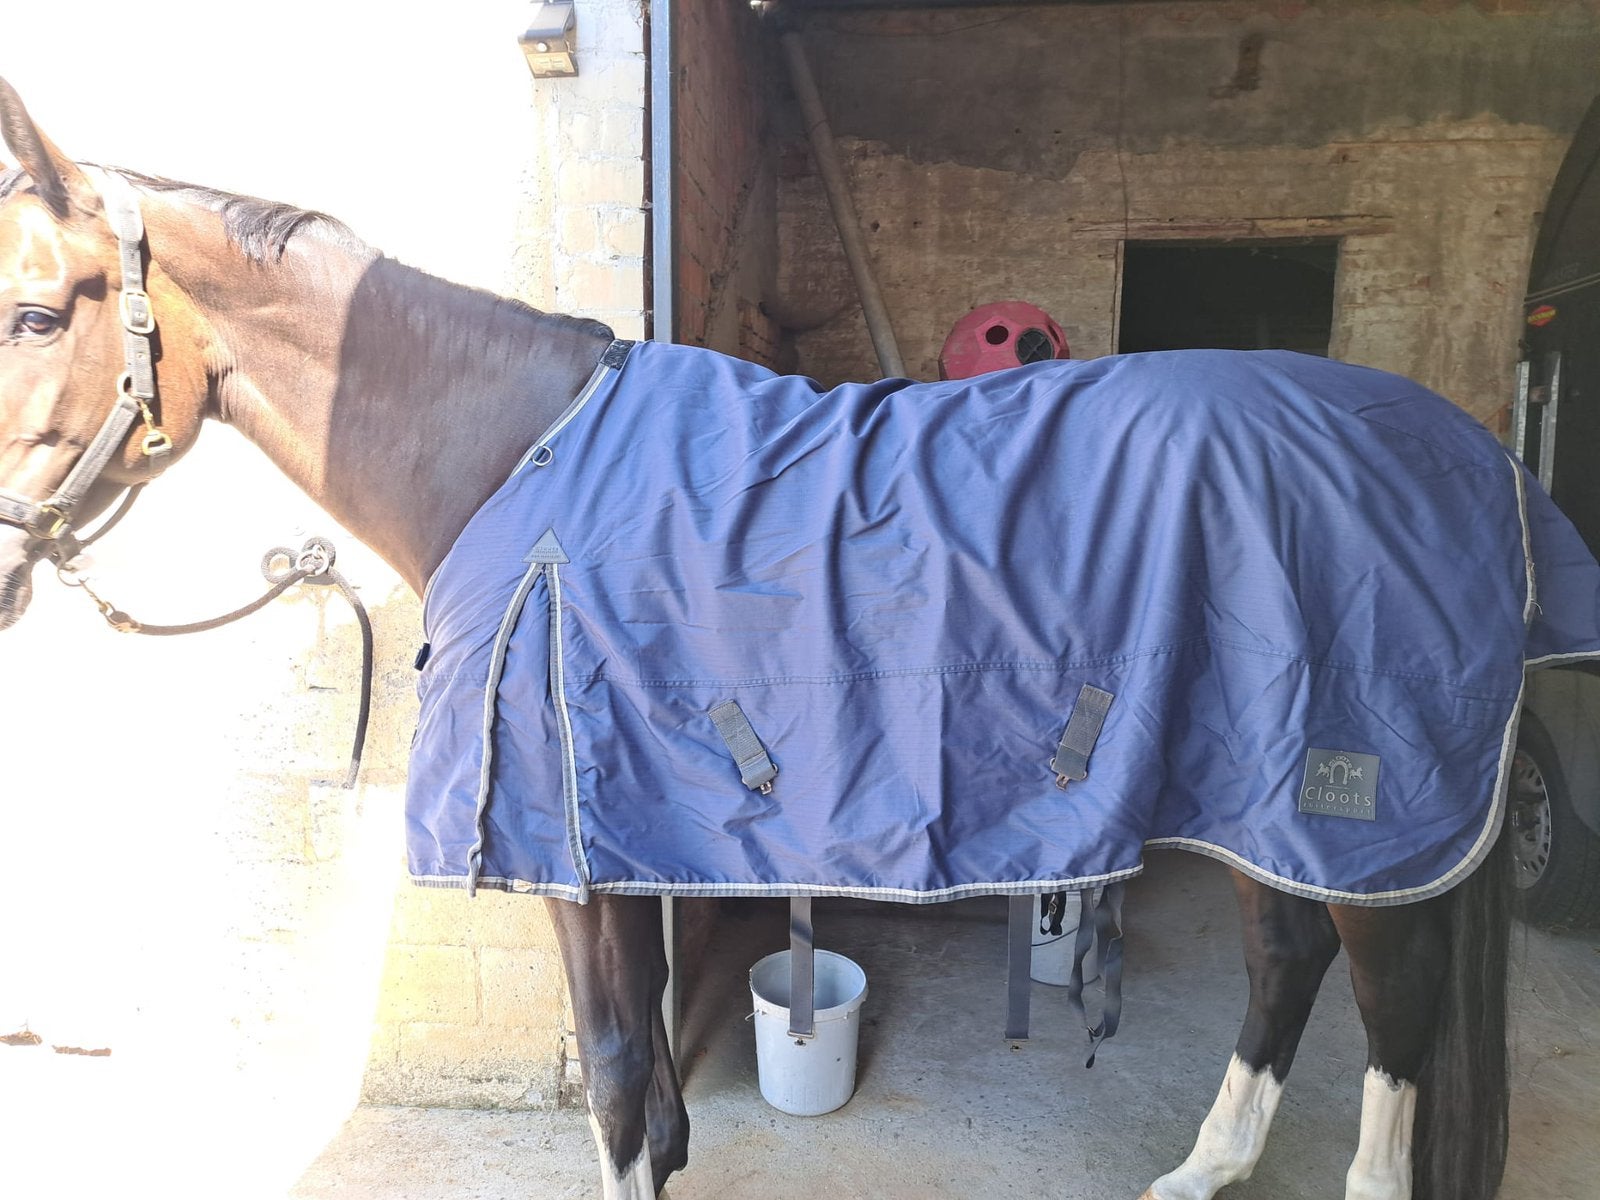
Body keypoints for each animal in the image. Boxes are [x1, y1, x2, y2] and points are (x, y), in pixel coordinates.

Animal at [0, 78, 1550, 1200]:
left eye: (33, 310)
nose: (6, 563)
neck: (513, 455)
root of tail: (1470, 463)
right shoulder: (626, 830)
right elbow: (648, 1072)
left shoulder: (572, 849)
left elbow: (614, 1076)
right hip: (1261, 794)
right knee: (1286, 962)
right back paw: (1203, 1169)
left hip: (1358, 806)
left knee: (1393, 1013)